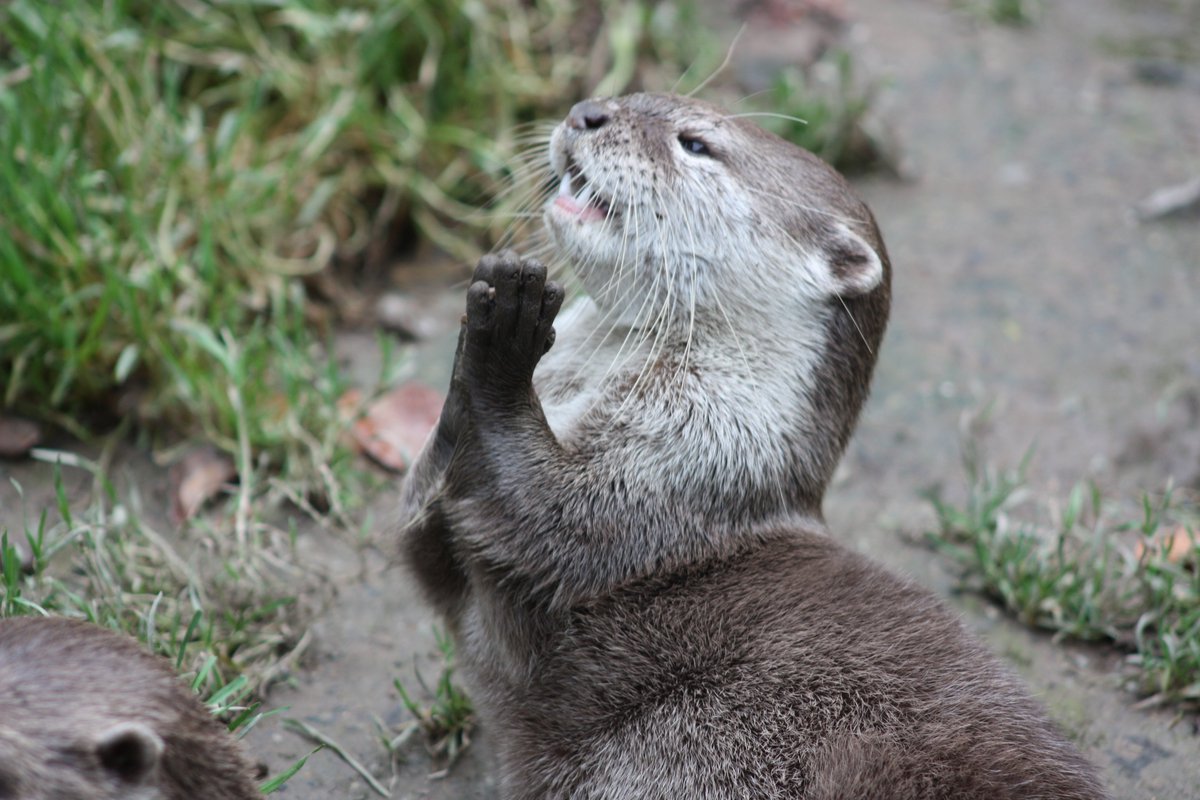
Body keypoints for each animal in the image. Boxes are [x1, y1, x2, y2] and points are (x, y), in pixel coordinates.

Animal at [399, 93, 1107, 799]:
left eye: (696, 144)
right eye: (634, 98)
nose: (588, 113)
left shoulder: (681, 461)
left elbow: (543, 516)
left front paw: (503, 339)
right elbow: (420, 530)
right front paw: (482, 328)